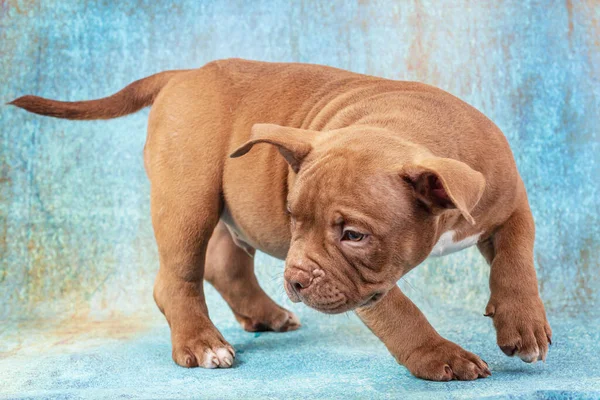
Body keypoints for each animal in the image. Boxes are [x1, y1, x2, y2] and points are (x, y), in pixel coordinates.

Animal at [10, 59, 552, 382]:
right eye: (293, 217)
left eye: (354, 234)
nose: (295, 279)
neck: (406, 128)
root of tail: (185, 72)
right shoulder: (366, 285)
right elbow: (400, 311)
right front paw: (440, 356)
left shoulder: (510, 203)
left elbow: (517, 261)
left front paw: (522, 323)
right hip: (188, 197)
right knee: (178, 276)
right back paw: (202, 343)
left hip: (230, 206)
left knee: (224, 263)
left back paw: (265, 314)